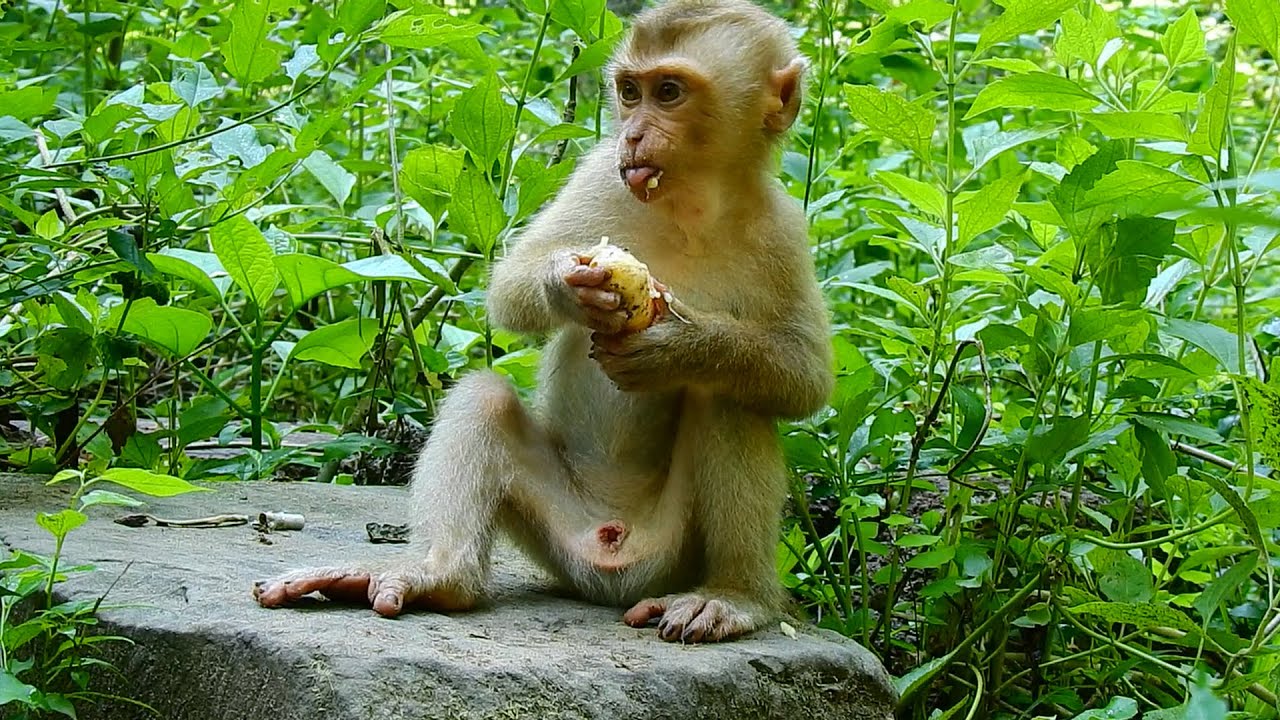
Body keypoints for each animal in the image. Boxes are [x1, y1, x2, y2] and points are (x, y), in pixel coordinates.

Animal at [253, 0, 833, 644]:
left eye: (670, 92)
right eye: (629, 92)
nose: (632, 135)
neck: (690, 206)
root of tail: (612, 560)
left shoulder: (784, 228)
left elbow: (803, 379)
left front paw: (678, 346)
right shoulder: (602, 172)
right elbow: (508, 289)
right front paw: (566, 283)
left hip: (672, 555)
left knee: (731, 399)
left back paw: (734, 596)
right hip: (557, 532)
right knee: (484, 398)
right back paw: (438, 575)